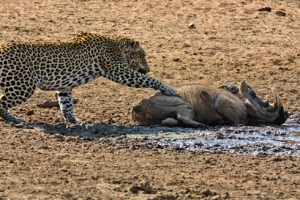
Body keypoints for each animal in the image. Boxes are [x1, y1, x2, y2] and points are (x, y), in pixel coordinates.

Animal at [0, 32, 177, 123]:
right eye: (143, 55)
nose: (148, 68)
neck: (117, 45)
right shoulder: (119, 72)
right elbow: (150, 79)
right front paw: (169, 89)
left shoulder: (64, 87)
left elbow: (66, 105)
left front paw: (75, 121)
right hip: (23, 86)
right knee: (2, 104)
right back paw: (15, 119)